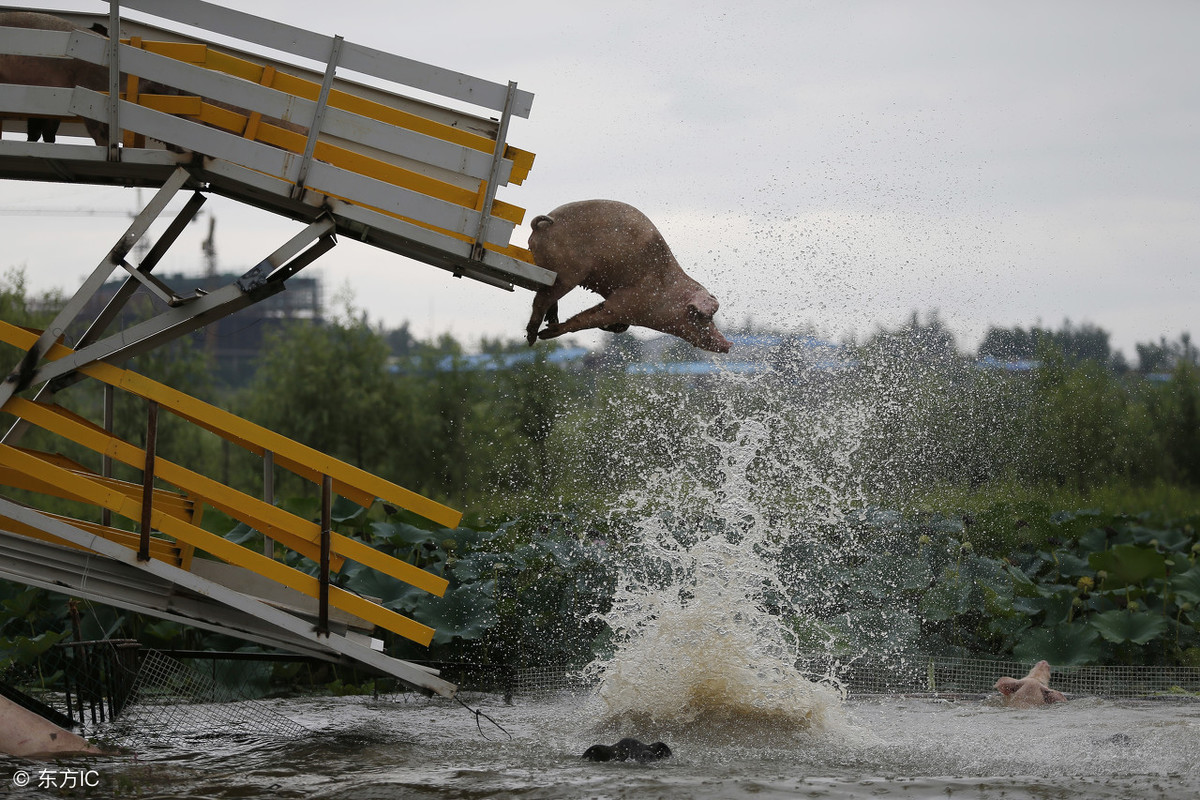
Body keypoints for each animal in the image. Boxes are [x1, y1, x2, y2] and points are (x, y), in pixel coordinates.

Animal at [525, 199, 729, 352]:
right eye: (702, 316)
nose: (728, 344)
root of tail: (543, 225)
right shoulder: (622, 305)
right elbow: (584, 320)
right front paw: (548, 333)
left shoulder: (618, 306)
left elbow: (606, 320)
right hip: (568, 274)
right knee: (541, 300)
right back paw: (533, 337)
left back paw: (549, 322)